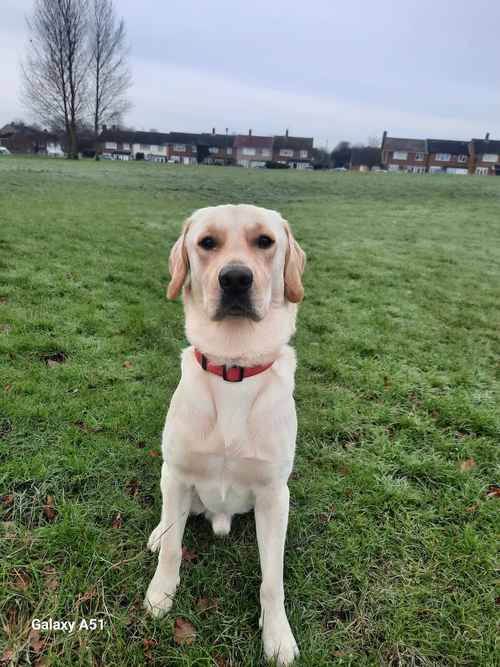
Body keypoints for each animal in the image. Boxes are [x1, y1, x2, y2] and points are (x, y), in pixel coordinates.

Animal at [145, 206, 304, 664]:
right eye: (207, 243)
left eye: (265, 241)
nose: (235, 279)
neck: (235, 366)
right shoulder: (179, 475)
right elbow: (175, 548)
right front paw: (160, 595)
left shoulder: (274, 495)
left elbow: (272, 580)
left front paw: (277, 635)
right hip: (169, 477)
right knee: (170, 521)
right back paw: (158, 534)